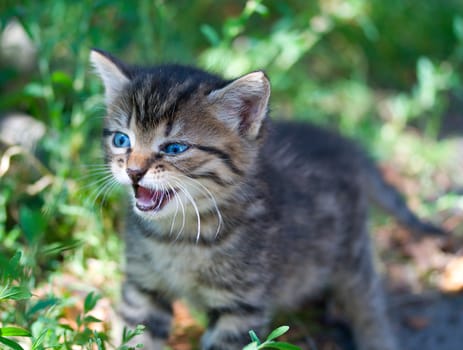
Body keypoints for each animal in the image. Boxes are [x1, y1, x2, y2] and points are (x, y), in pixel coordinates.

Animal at [89, 49, 442, 350]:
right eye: (122, 140)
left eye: (175, 148)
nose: (133, 171)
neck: (179, 236)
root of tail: (345, 146)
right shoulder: (143, 288)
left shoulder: (239, 306)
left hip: (352, 256)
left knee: (369, 303)